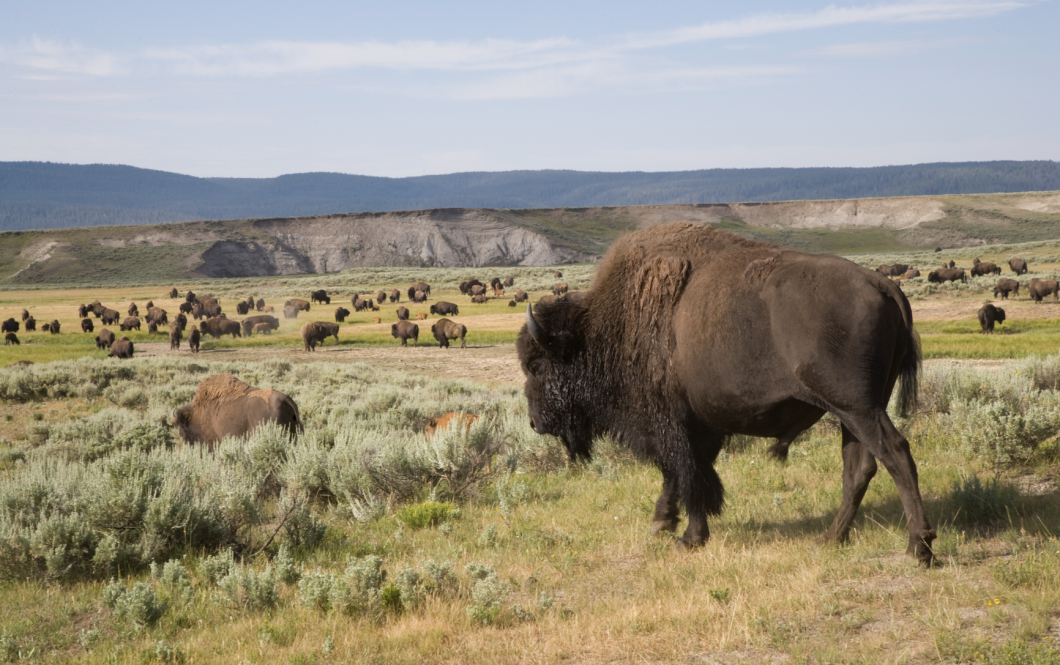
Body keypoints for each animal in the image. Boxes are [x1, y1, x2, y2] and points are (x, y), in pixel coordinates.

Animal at [521, 225, 937, 564]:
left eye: (536, 366)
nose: (535, 422)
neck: (608, 326)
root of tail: (883, 285)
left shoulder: (672, 424)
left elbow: (690, 477)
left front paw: (687, 538)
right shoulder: (699, 426)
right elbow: (685, 475)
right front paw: (663, 524)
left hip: (857, 407)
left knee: (895, 454)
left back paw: (918, 547)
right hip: (853, 412)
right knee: (859, 467)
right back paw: (831, 539)